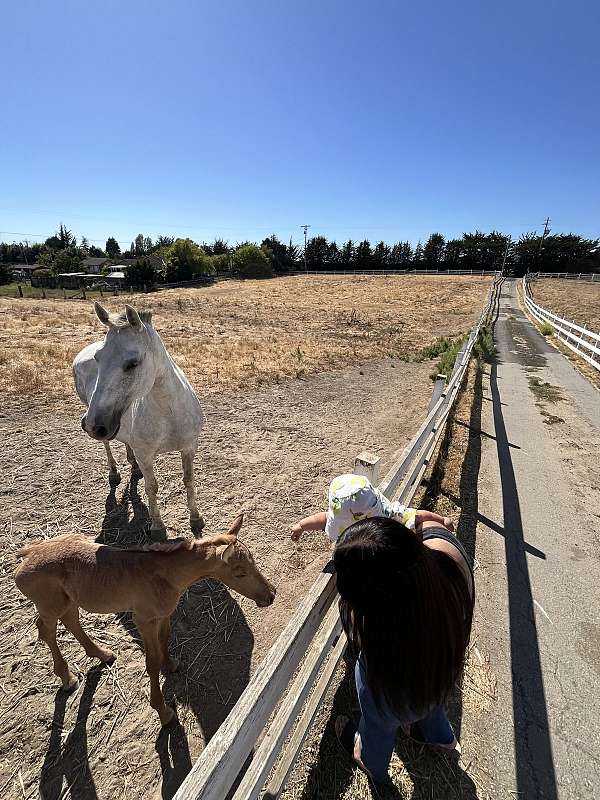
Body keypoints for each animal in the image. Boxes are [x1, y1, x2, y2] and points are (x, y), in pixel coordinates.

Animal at [14, 516, 276, 728]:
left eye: (253, 561)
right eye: (240, 572)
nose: (271, 595)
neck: (165, 575)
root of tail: (26, 557)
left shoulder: (163, 615)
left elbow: (165, 641)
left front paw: (171, 665)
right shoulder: (143, 620)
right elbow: (152, 662)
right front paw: (164, 712)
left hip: (69, 601)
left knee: (71, 621)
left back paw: (103, 654)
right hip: (50, 605)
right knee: (46, 630)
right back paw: (67, 678)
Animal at [72, 304, 204, 536]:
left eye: (132, 363)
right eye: (98, 358)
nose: (92, 425)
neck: (169, 413)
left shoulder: (189, 447)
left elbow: (188, 480)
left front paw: (195, 518)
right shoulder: (145, 456)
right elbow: (152, 487)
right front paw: (158, 527)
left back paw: (132, 467)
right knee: (107, 444)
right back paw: (114, 473)